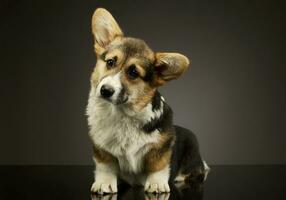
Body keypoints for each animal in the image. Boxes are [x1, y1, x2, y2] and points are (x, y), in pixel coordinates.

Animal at [86, 8, 209, 194]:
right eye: (110, 62)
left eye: (133, 73)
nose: (105, 90)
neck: (122, 114)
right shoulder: (101, 148)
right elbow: (105, 166)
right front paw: (104, 183)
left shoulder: (161, 147)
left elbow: (157, 165)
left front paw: (156, 184)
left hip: (193, 158)